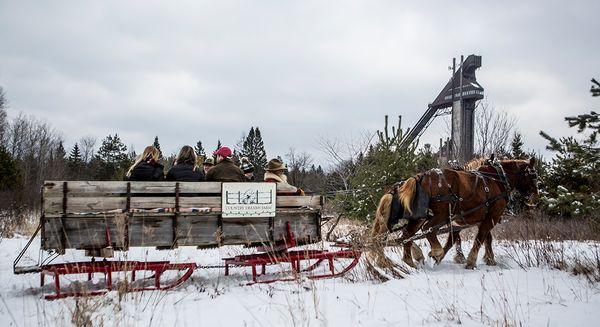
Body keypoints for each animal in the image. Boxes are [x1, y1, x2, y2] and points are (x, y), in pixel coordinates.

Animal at [376, 158, 540, 270]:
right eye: (533, 176)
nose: (535, 199)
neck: (497, 180)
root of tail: (421, 177)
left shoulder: (474, 220)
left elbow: (481, 239)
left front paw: (489, 259)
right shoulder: (491, 217)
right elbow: (479, 239)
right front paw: (470, 262)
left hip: (420, 216)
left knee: (407, 234)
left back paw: (410, 260)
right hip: (439, 214)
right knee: (427, 230)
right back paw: (434, 252)